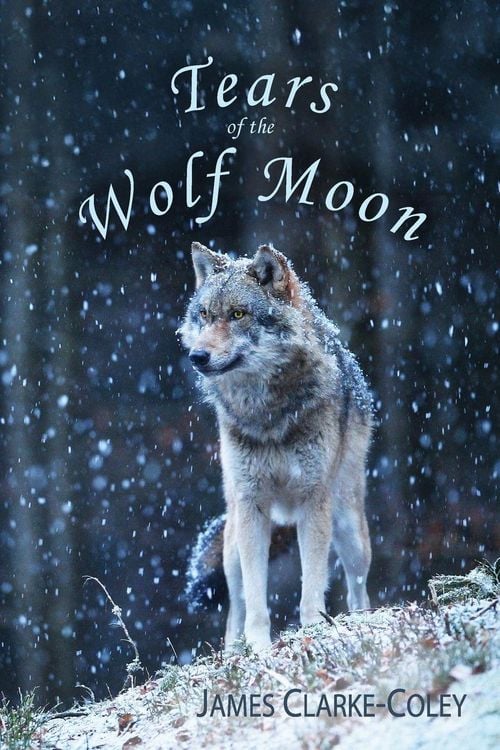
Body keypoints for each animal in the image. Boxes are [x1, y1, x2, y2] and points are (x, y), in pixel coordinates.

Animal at [179, 241, 373, 650]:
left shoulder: (313, 501)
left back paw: (362, 621)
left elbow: (312, 584)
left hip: (348, 528)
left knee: (357, 586)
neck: (266, 413)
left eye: (238, 314)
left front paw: (313, 629)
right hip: (232, 542)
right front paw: (258, 646)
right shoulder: (252, 506)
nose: (197, 356)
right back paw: (233, 650)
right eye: (204, 314)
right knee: (234, 607)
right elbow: (255, 596)